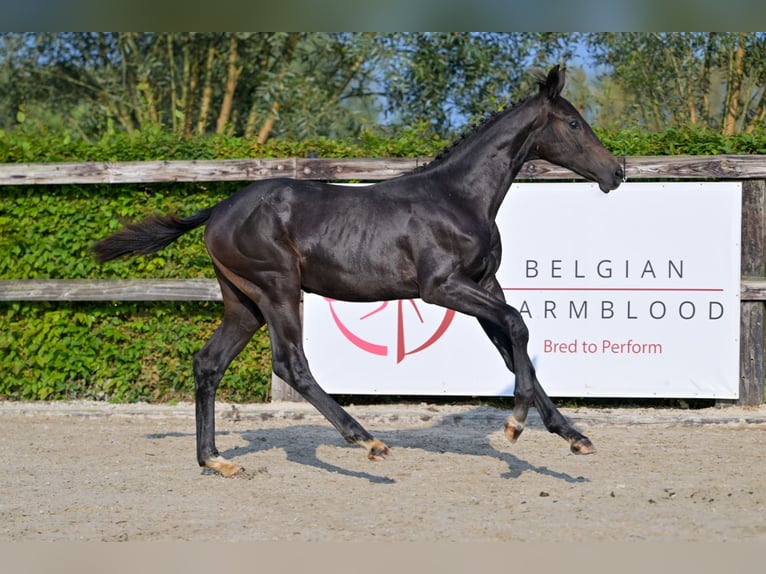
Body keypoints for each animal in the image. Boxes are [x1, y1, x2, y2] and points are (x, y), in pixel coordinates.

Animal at [94, 65, 624, 480]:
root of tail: (219, 209)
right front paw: (513, 426)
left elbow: (515, 351)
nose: (615, 172)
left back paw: (215, 459)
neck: (458, 197)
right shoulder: (442, 287)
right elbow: (517, 325)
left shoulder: (481, 284)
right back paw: (366, 440)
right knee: (290, 363)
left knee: (208, 362)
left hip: (243, 301)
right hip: (277, 287)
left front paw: (572, 435)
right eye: (574, 123)